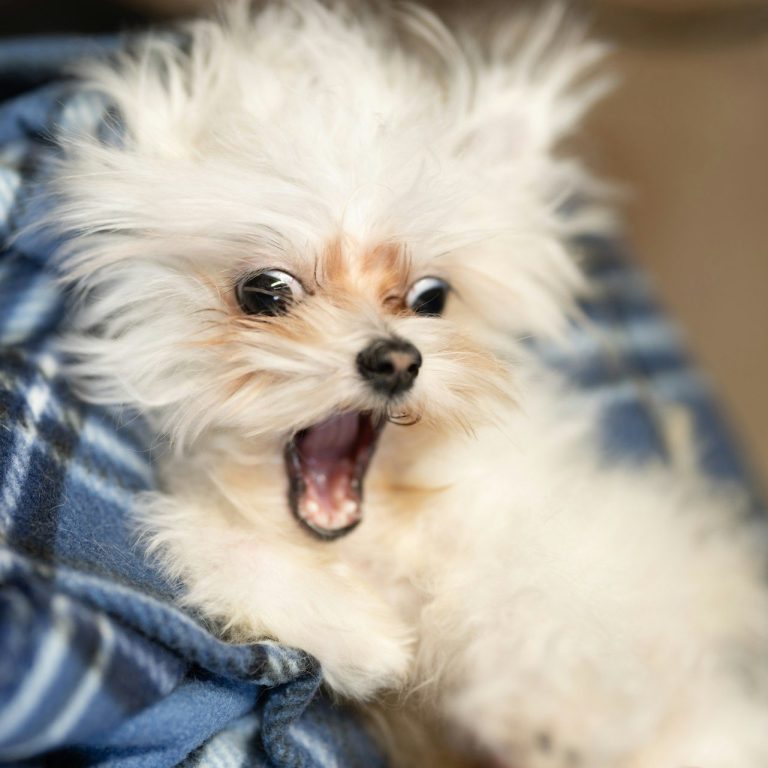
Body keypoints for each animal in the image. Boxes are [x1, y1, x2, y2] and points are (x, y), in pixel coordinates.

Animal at [48, 3, 768, 764]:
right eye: (265, 292)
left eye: (431, 297)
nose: (396, 360)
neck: (380, 539)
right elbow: (212, 542)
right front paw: (365, 638)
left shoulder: (569, 536)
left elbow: (547, 595)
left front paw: (542, 711)